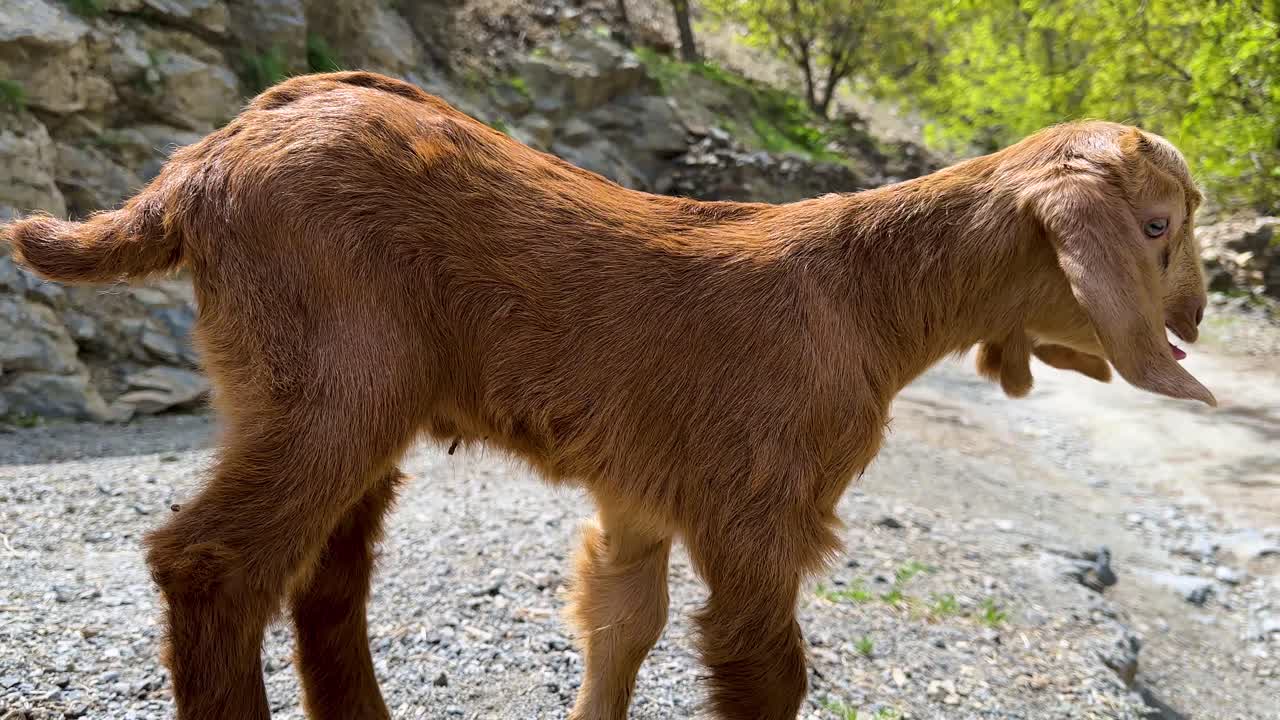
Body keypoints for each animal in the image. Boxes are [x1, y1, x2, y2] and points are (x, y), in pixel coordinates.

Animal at [2, 71, 1214, 720]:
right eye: (1156, 226)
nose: (1199, 316)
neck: (866, 296)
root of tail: (195, 169)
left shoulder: (640, 495)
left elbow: (620, 622)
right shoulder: (758, 507)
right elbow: (764, 669)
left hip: (327, 399)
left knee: (324, 578)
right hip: (328, 382)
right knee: (211, 563)